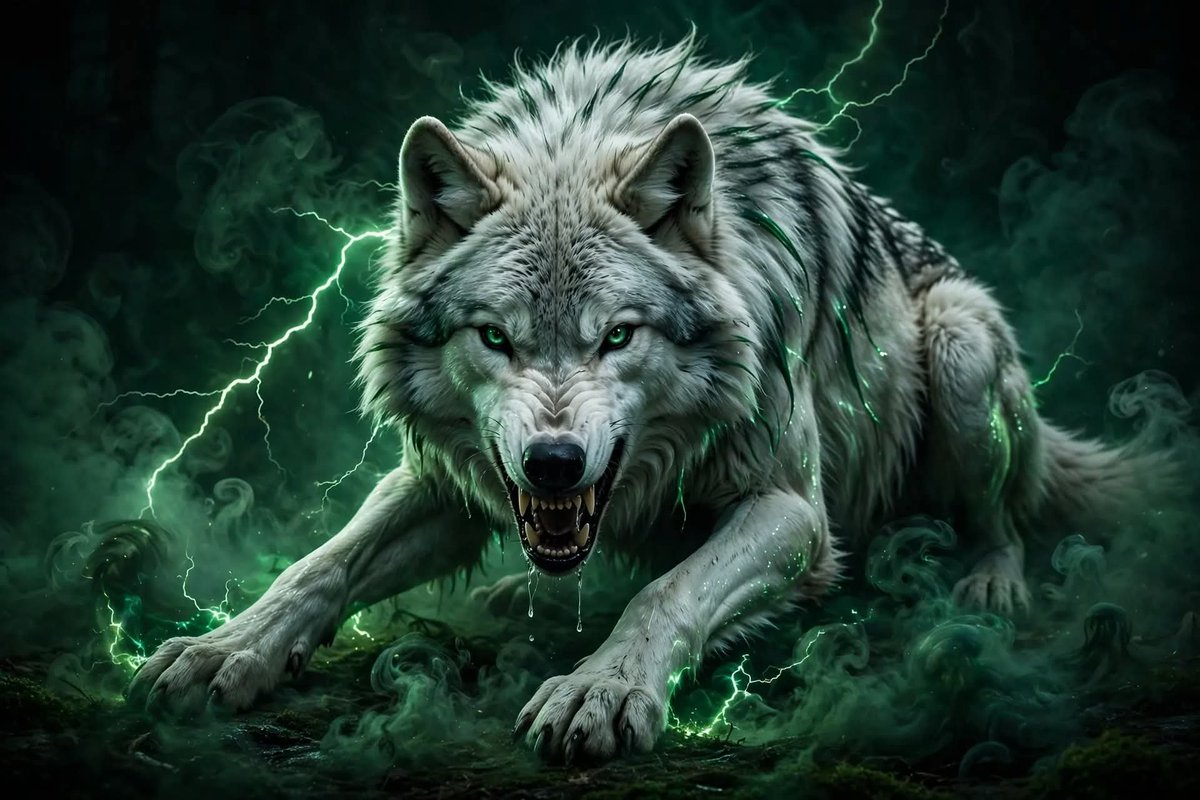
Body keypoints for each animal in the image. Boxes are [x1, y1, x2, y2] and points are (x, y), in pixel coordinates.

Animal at [129, 36, 1165, 763]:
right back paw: (519, 592)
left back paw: (990, 583)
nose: (553, 464)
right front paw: (226, 649)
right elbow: (320, 565)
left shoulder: (792, 507)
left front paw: (602, 689)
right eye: (495, 337)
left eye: (617, 335)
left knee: (1002, 517)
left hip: (956, 344)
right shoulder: (445, 476)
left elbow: (667, 592)